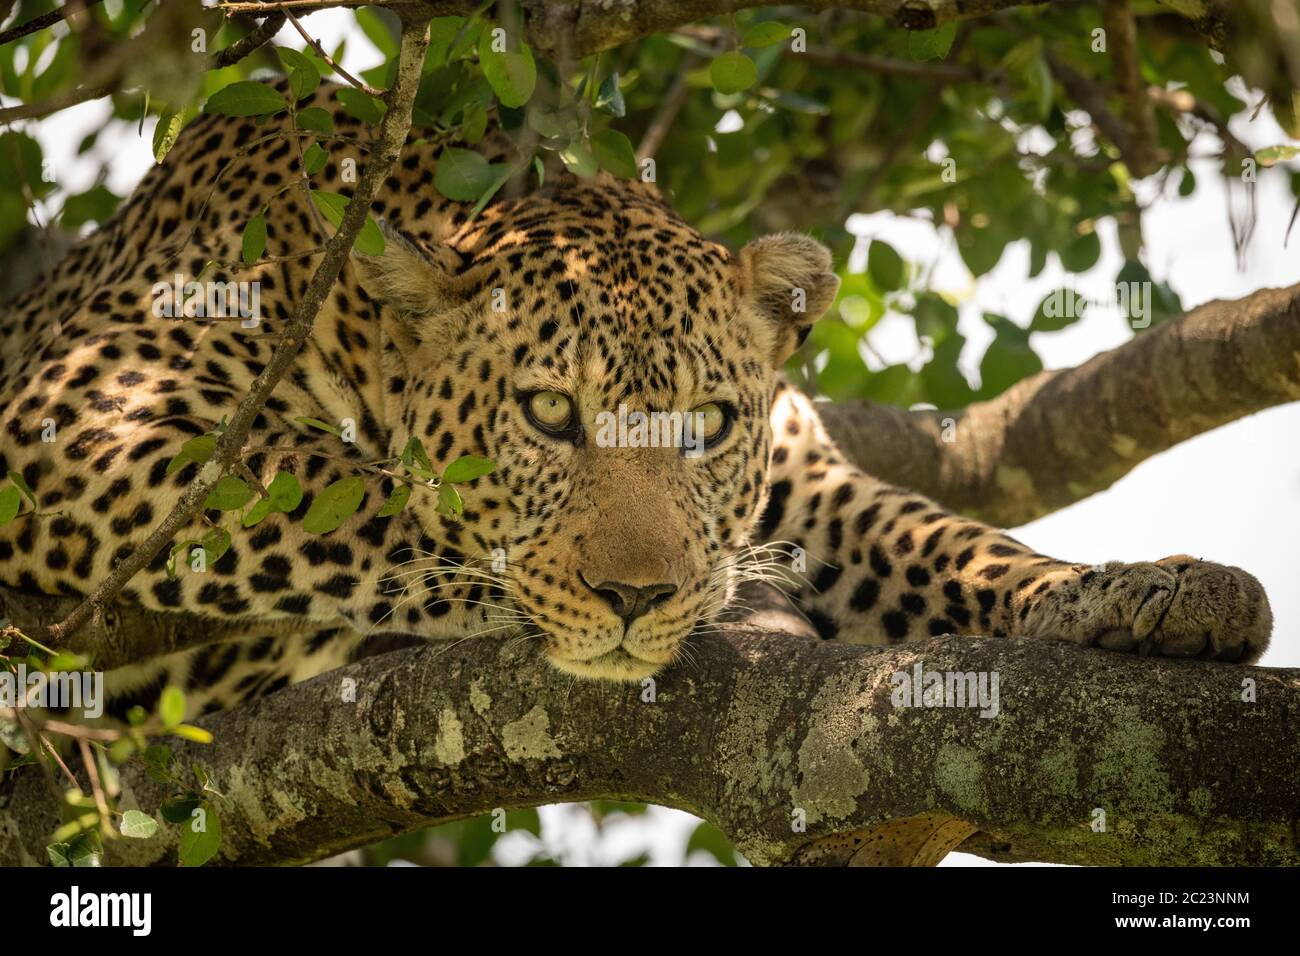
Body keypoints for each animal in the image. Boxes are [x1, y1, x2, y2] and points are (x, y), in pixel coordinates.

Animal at [0, 85, 1268, 723]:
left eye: (707, 425)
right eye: (548, 413)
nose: (634, 597)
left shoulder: (803, 484)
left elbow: (953, 541)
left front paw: (1143, 587)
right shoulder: (78, 408)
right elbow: (351, 493)